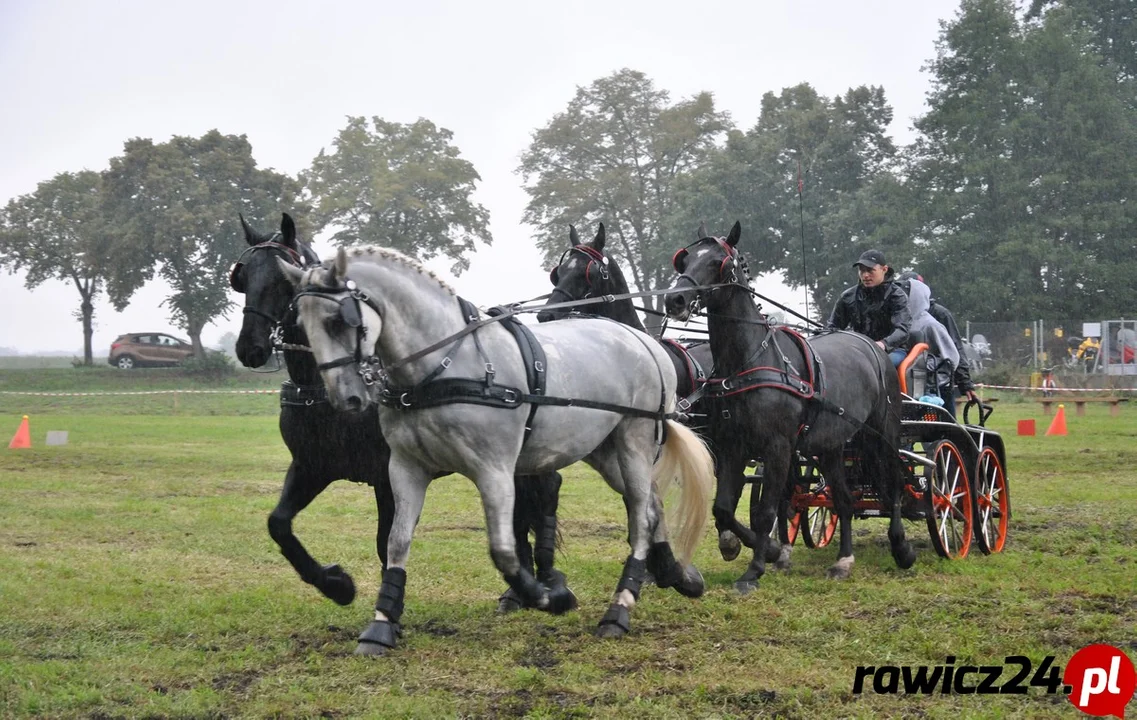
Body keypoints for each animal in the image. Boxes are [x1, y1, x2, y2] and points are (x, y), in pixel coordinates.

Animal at [230, 209, 568, 623]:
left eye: (283, 281)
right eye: (242, 276)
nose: (250, 348)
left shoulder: (385, 476)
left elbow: (385, 540)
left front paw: (387, 609)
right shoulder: (312, 467)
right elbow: (279, 524)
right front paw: (336, 585)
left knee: (546, 491)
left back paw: (541, 580)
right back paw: (518, 590)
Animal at [279, 245, 709, 650]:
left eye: (340, 320)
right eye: (300, 323)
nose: (347, 398)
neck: (444, 366)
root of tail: (644, 341)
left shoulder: (495, 470)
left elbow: (502, 548)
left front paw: (549, 597)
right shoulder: (404, 468)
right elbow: (397, 541)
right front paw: (380, 625)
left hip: (635, 439)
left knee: (639, 515)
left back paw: (619, 609)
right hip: (601, 450)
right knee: (651, 505)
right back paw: (676, 574)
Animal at [664, 222, 918, 591]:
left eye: (717, 262)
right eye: (684, 260)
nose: (675, 299)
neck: (749, 362)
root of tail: (872, 346)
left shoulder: (778, 448)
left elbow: (766, 511)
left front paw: (754, 570)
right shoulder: (731, 447)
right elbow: (724, 508)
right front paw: (768, 550)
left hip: (883, 433)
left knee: (895, 483)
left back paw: (901, 548)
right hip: (830, 446)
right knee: (843, 498)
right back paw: (843, 560)